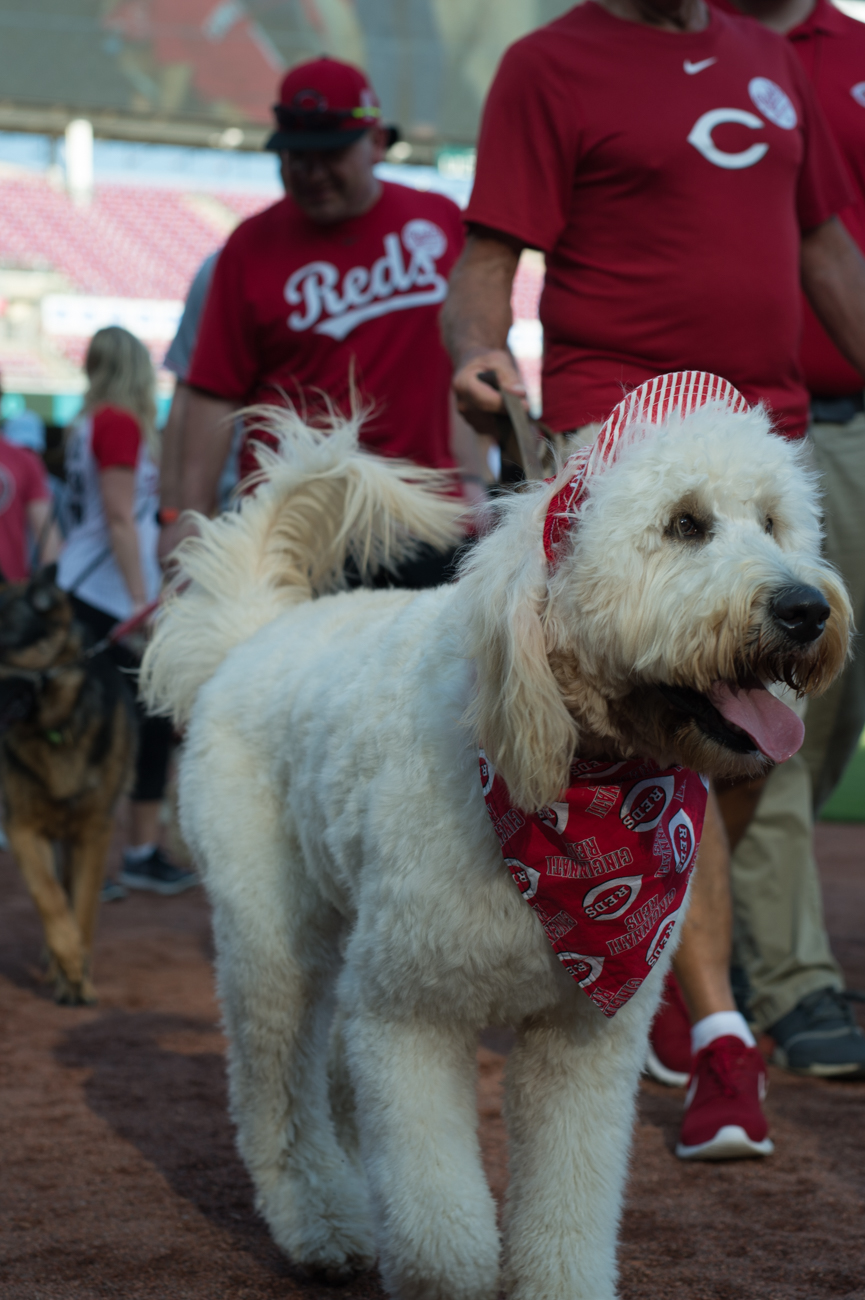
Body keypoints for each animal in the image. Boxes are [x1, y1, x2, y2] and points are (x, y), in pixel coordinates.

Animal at [0, 564, 135, 998]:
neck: (55, 730)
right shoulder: (22, 827)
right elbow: (48, 895)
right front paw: (70, 960)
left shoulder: (94, 832)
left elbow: (84, 906)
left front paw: (79, 979)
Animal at [143, 374, 848, 1300]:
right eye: (684, 524)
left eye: (771, 521)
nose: (806, 608)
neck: (574, 784)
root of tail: (255, 634)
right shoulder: (411, 1016)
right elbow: (442, 1229)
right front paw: (445, 1266)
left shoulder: (582, 1039)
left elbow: (568, 1202)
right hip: (272, 942)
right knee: (276, 1096)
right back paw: (322, 1222)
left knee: (332, 1072)